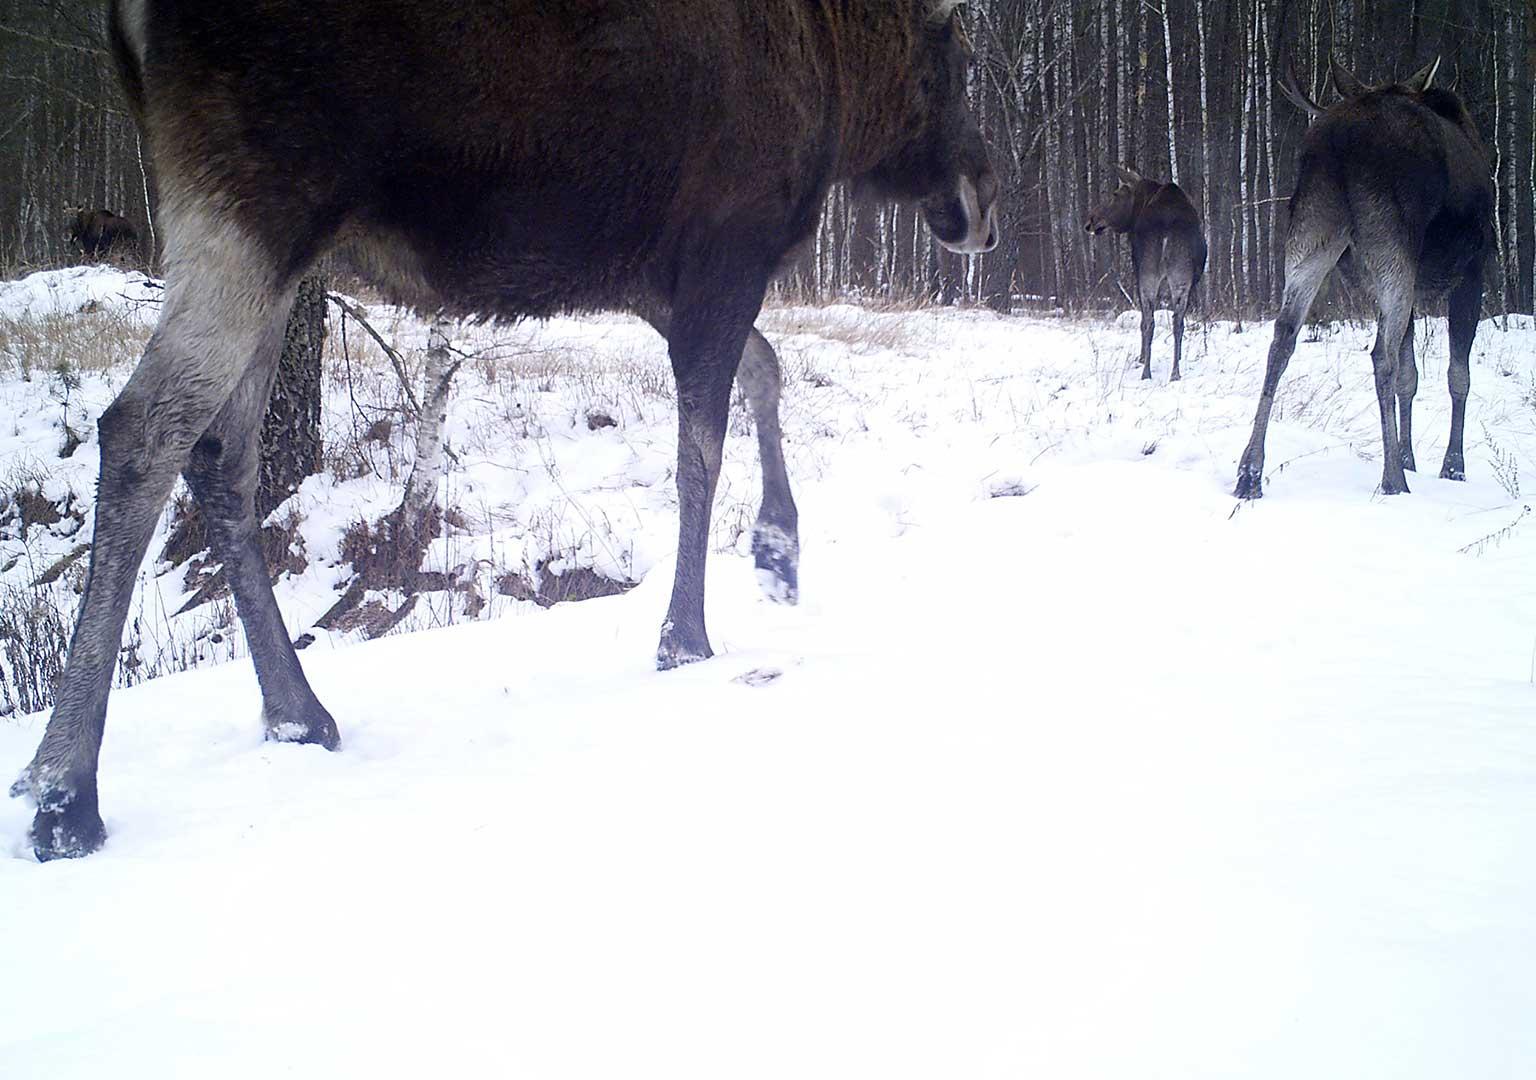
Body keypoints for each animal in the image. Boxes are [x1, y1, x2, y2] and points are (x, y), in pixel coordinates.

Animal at [12, 2, 995, 860]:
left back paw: (296, 712)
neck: (839, 80)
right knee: (143, 428)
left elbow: (765, 369)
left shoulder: (655, 276)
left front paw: (779, 549)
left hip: (271, 242)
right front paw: (686, 636)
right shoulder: (725, 249)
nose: (984, 195)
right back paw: (64, 791)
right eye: (958, 53)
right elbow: (700, 455)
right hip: (251, 211)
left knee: (223, 453)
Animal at [1228, 59, 1492, 497]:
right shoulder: (1473, 270)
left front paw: (1410, 456)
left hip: (1312, 232)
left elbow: (1411, 377)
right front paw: (1450, 467)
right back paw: (1393, 479)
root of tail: (1339, 142)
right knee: (1380, 355)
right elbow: (1457, 376)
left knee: (1282, 337)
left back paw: (1249, 472)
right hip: (1392, 244)